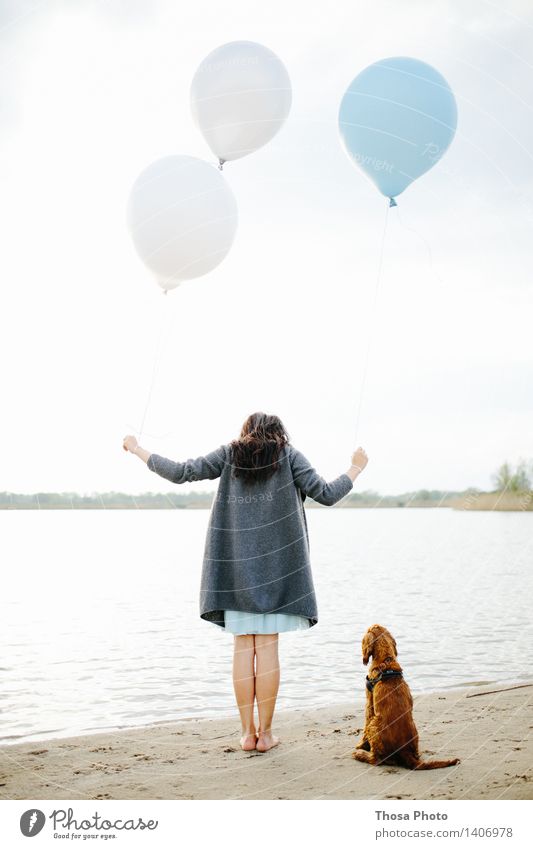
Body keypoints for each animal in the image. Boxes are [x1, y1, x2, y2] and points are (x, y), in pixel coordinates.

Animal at [352, 624, 460, 768]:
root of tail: (405, 751)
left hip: (374, 724)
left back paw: (360, 754)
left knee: (376, 759)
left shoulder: (369, 703)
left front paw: (360, 746)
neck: (386, 660)